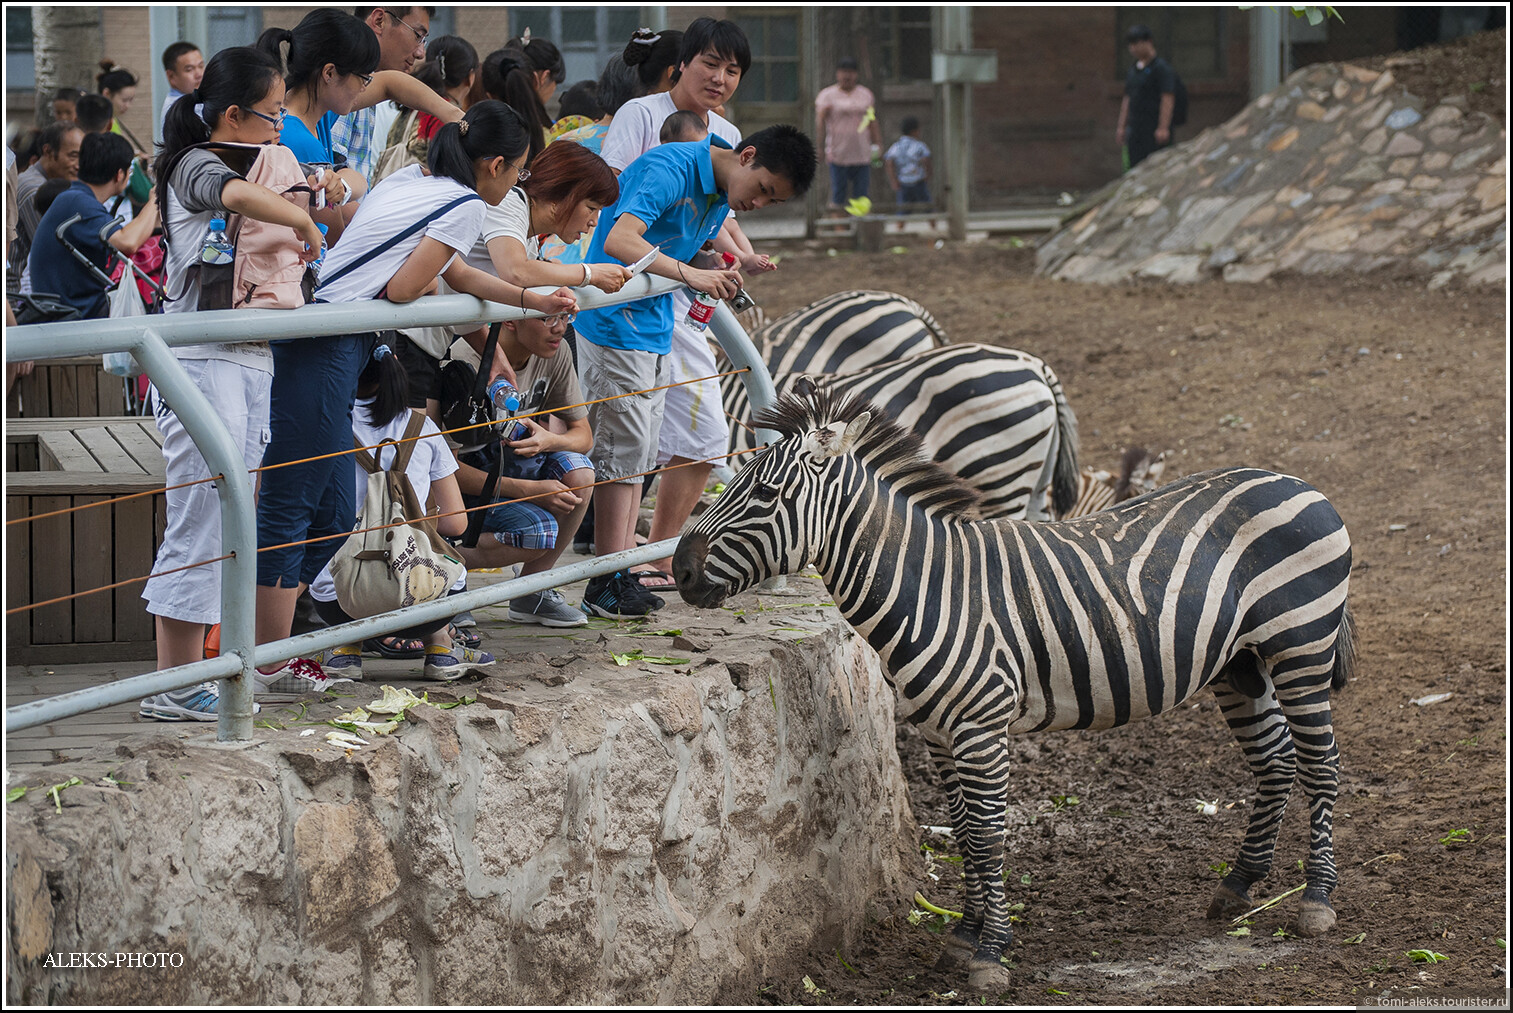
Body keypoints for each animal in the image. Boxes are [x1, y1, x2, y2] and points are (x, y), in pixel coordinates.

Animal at [668, 390, 1355, 991]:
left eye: (763, 492)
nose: (678, 569)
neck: (927, 589)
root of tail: (1293, 481)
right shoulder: (938, 733)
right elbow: (964, 832)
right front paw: (963, 938)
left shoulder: (979, 726)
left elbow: (989, 834)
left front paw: (991, 955)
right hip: (1240, 662)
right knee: (1276, 760)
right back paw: (1237, 885)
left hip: (1300, 646)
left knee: (1320, 763)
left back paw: (1316, 901)